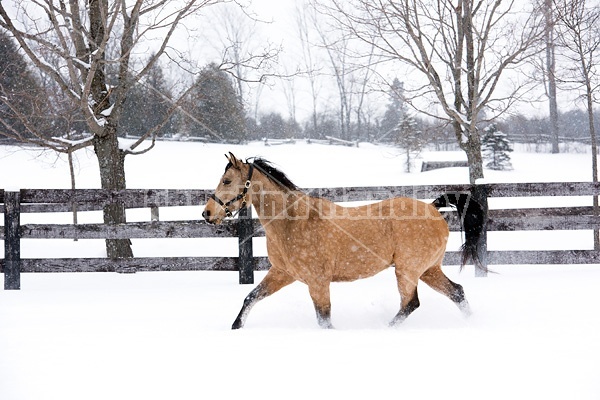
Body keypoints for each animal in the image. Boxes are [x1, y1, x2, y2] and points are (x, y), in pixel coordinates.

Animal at [204, 153, 486, 328]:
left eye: (227, 181)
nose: (207, 214)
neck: (293, 222)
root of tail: (432, 208)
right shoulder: (282, 273)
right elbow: (250, 298)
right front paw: (235, 327)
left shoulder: (317, 282)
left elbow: (324, 319)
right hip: (428, 270)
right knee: (457, 292)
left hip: (408, 270)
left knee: (411, 303)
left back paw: (386, 328)